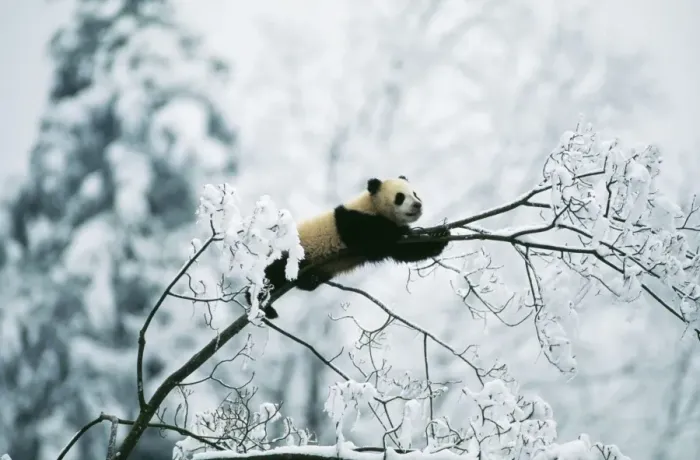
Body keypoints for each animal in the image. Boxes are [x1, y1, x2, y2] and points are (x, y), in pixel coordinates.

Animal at [247, 175, 451, 319]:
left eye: (415, 193)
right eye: (400, 197)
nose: (417, 205)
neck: (371, 205)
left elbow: (405, 251)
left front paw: (440, 236)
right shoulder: (351, 220)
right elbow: (374, 239)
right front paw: (399, 231)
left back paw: (308, 280)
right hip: (288, 255)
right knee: (269, 277)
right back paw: (259, 304)